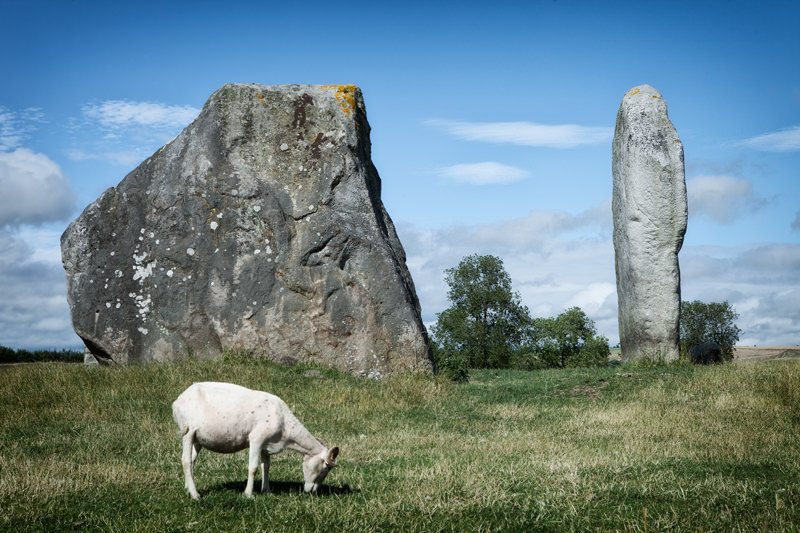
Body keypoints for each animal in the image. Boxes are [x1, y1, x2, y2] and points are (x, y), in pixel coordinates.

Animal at [172, 380, 338, 496]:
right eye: (326, 467)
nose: (312, 491)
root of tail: (177, 402)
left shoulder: (267, 444)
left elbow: (266, 466)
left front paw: (267, 491)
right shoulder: (256, 439)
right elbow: (253, 468)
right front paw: (248, 494)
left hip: (198, 439)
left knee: (192, 461)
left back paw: (188, 489)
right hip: (187, 431)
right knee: (186, 461)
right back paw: (195, 495)